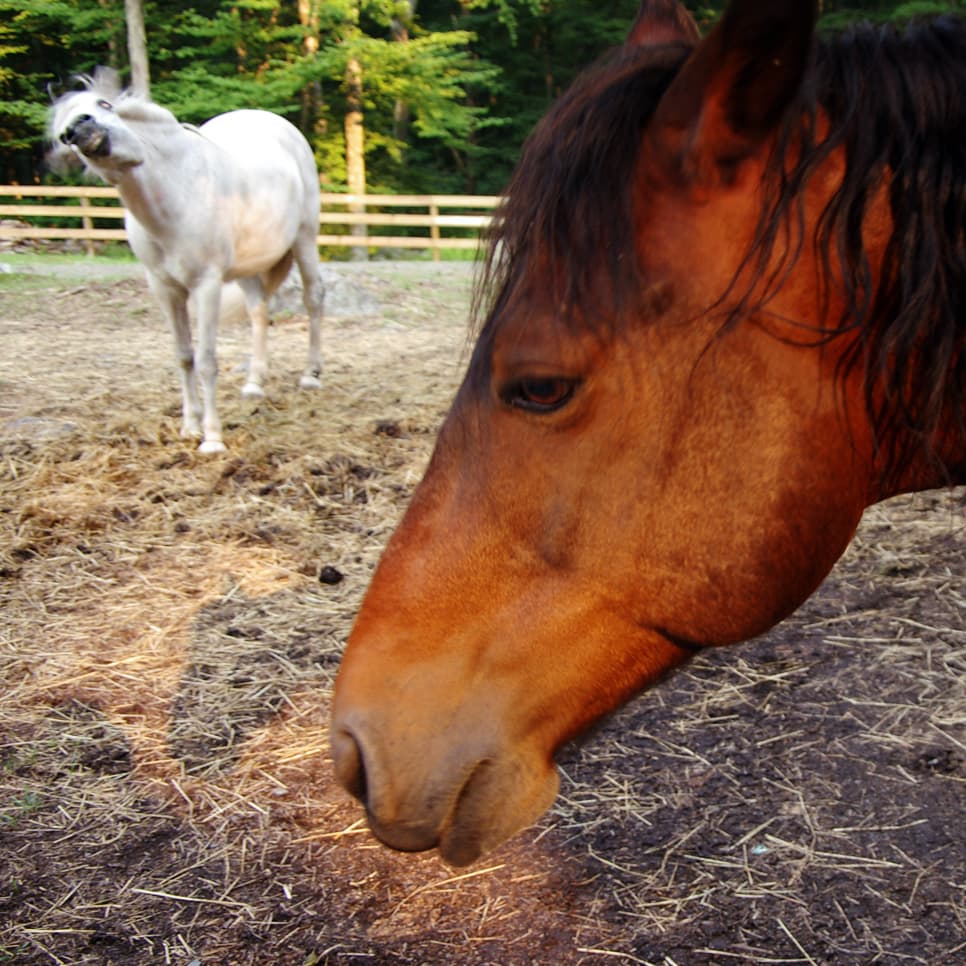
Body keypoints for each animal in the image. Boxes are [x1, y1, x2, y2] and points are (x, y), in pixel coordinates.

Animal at [48, 70, 325, 454]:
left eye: (104, 105)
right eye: (64, 136)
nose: (82, 129)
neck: (177, 194)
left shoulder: (206, 285)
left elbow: (206, 360)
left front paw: (212, 438)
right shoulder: (165, 289)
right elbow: (183, 356)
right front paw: (190, 426)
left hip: (304, 238)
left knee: (313, 297)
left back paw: (311, 376)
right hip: (247, 265)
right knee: (258, 310)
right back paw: (254, 383)